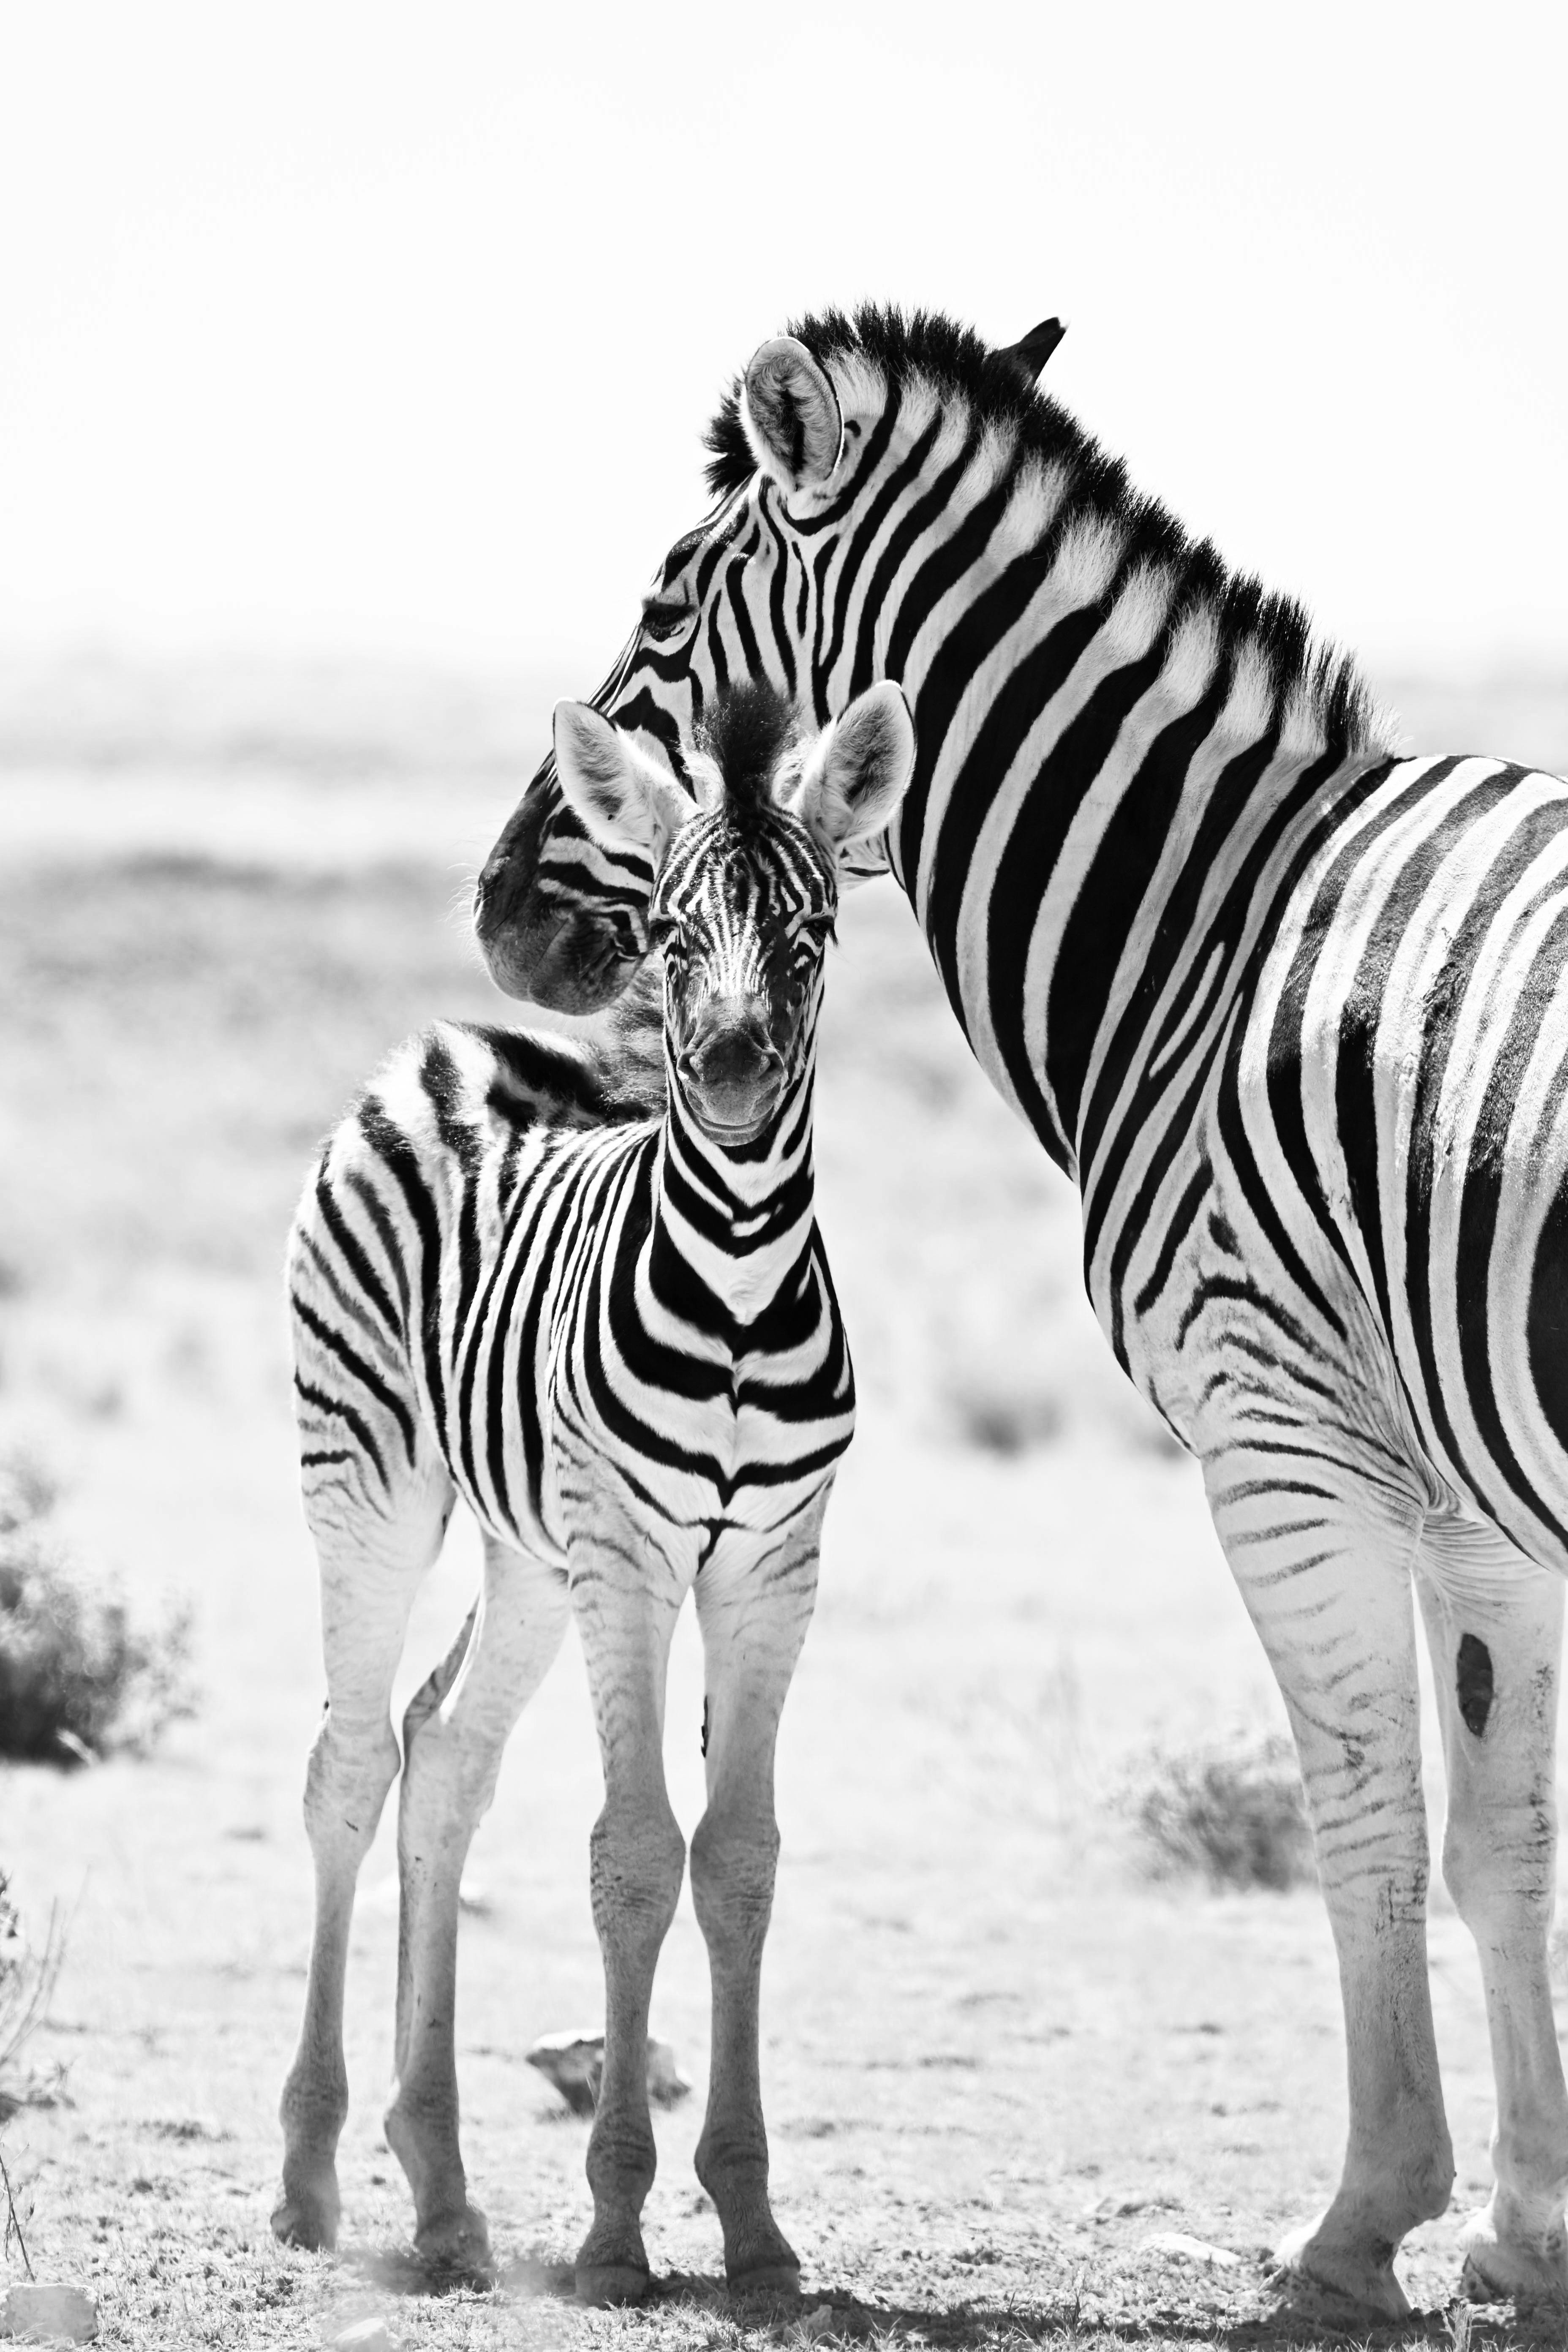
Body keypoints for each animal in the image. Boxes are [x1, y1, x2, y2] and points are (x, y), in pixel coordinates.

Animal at [272, 677, 917, 2301]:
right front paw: (618, 2227)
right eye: (675, 933)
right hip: (369, 1479)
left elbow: (739, 1857)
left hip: (528, 1550)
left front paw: (751, 2226)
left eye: (812, 931)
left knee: (444, 1753)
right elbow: (633, 1854)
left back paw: (442, 2189)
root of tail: (457, 1044)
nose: (738, 1077)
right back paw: (309, 2172)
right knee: (349, 1766)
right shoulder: (629, 1552)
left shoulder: (771, 1564)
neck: (739, 1278)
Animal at [471, 304, 1568, 2320]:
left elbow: (1361, 1810)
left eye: (662, 608)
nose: (500, 908)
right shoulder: (1462, 1486)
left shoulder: (1280, 1433)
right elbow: (1495, 1843)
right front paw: (1518, 2239)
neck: (1205, 926)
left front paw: (1360, 2223)